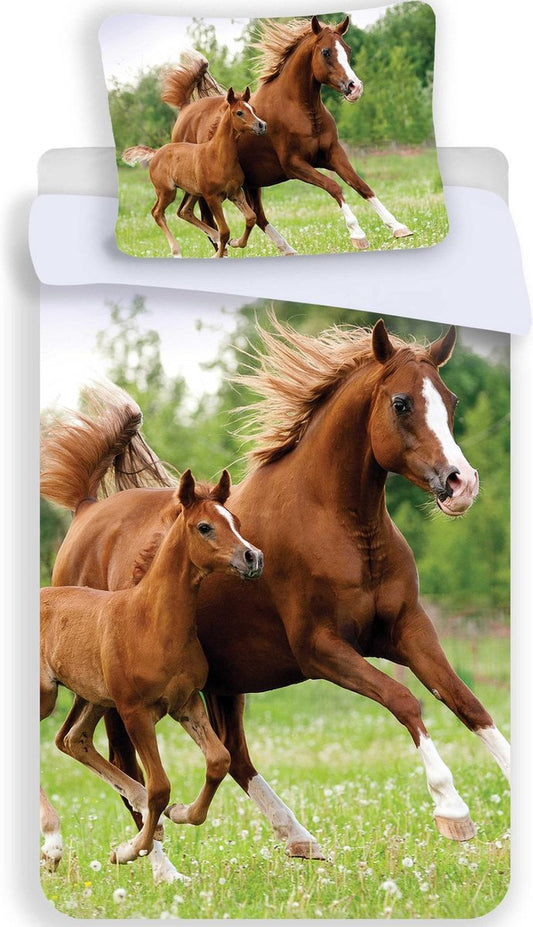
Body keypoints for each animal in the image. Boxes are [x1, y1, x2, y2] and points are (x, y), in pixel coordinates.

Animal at [40, 468, 263, 874]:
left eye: (236, 522)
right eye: (204, 526)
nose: (252, 557)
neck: (151, 621)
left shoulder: (186, 703)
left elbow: (218, 760)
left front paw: (179, 813)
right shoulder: (135, 712)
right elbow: (160, 785)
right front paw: (130, 850)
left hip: (94, 697)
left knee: (72, 739)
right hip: (48, 696)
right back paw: (53, 842)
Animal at [122, 87, 266, 258]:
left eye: (253, 109)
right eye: (239, 112)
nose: (262, 125)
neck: (218, 156)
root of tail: (156, 153)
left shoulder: (235, 193)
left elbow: (251, 218)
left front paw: (236, 242)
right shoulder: (212, 197)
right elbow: (225, 231)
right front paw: (218, 254)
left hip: (193, 192)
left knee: (185, 211)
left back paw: (214, 237)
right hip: (167, 191)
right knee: (157, 212)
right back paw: (176, 251)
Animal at [160, 16, 412, 255]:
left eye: (347, 49)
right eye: (326, 51)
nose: (354, 87)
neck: (301, 110)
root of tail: (185, 110)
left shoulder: (333, 154)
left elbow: (361, 185)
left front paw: (398, 227)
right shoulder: (294, 165)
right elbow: (334, 187)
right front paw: (358, 235)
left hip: (252, 182)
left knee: (257, 216)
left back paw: (286, 248)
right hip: (206, 188)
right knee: (205, 218)